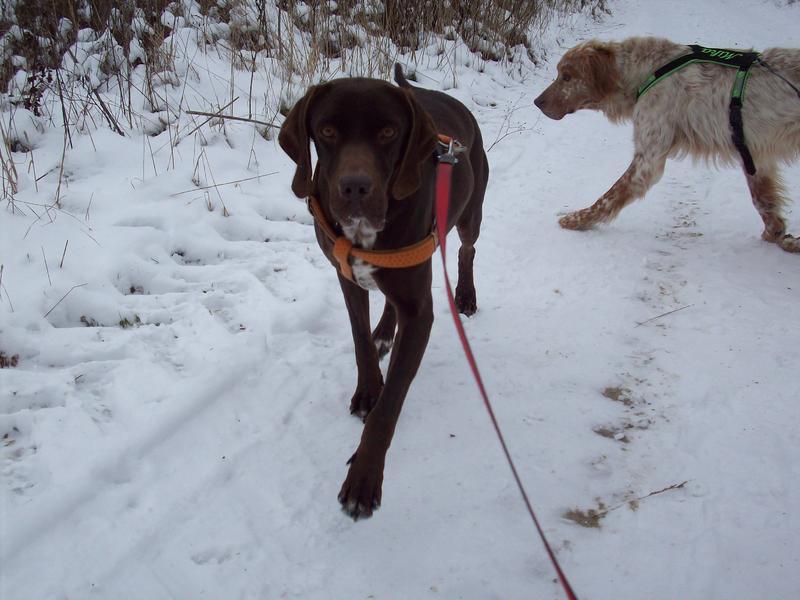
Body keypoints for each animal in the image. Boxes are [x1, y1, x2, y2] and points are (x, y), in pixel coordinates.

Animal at [278, 64, 490, 516]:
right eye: (327, 130)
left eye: (389, 132)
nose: (355, 187)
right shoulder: (346, 276)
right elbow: (360, 341)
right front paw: (367, 388)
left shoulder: (420, 312)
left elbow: (391, 403)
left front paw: (364, 476)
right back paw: (384, 333)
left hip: (470, 212)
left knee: (468, 248)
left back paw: (465, 294)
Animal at [536, 37, 800, 253]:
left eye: (567, 76)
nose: (537, 102)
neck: (645, 72)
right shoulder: (753, 153)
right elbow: (763, 201)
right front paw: (779, 235)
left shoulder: (648, 159)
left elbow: (607, 197)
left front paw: (576, 219)